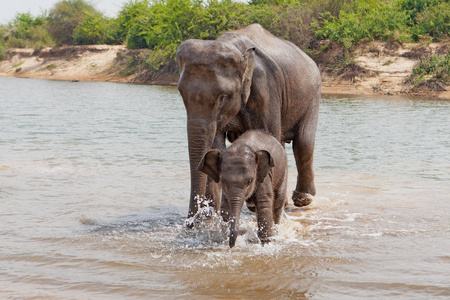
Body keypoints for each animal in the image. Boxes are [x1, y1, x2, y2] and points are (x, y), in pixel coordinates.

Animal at [176, 23, 320, 218]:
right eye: (181, 94)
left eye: (223, 97)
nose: (193, 221)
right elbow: (216, 145)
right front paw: (215, 216)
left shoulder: (265, 89)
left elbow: (267, 136)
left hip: (313, 95)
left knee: (303, 143)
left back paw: (302, 199)